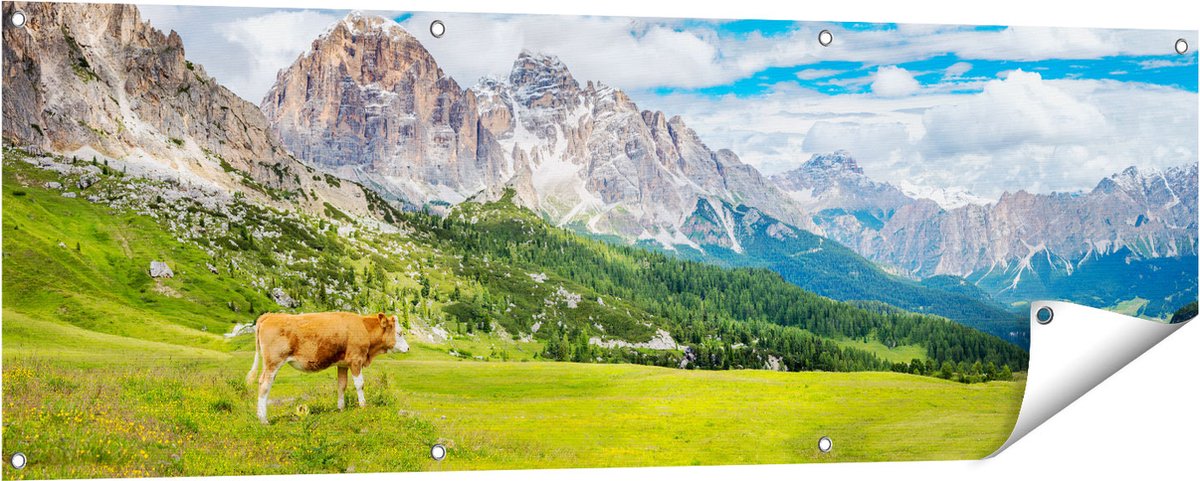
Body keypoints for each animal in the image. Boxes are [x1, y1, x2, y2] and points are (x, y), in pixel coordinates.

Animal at [245, 312, 410, 424]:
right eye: (400, 333)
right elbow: (359, 384)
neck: (364, 329)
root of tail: (270, 316)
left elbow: (342, 385)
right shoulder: (356, 360)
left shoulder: (343, 364)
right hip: (273, 362)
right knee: (264, 384)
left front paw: (341, 408)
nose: (408, 348)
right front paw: (363, 406)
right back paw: (263, 419)